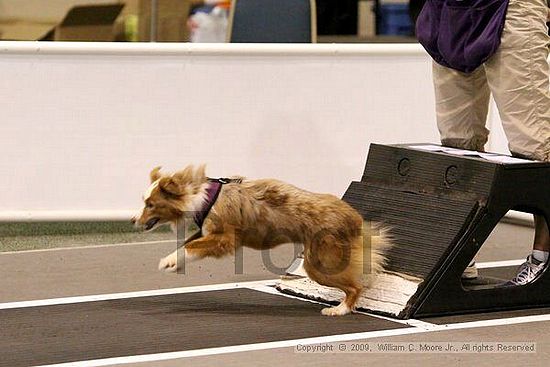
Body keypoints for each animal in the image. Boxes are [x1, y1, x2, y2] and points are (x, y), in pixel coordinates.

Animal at [134, 167, 392, 316]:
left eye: (151, 204)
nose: (134, 220)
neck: (201, 196)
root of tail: (354, 218)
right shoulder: (206, 232)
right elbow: (186, 245)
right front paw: (173, 262)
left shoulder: (225, 239)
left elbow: (191, 246)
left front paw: (169, 261)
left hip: (319, 264)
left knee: (355, 287)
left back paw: (340, 310)